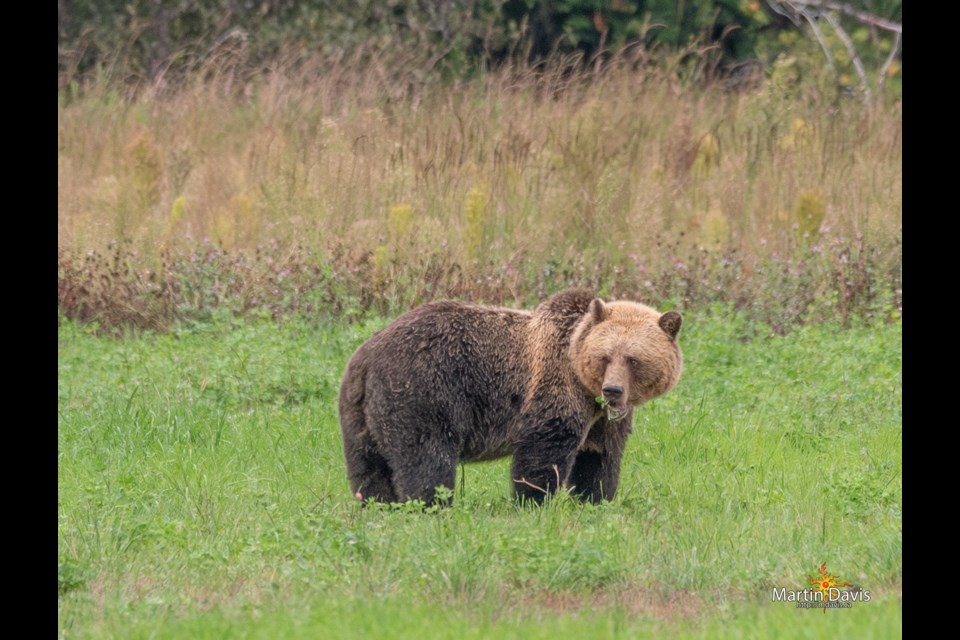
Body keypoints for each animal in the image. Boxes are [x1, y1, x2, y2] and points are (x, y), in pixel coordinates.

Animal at [338, 290, 684, 504]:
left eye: (633, 359)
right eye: (605, 356)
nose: (612, 390)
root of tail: (366, 359)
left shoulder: (602, 419)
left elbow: (600, 458)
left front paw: (594, 498)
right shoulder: (554, 386)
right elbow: (544, 451)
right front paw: (535, 500)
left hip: (359, 411)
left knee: (368, 466)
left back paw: (377, 503)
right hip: (422, 392)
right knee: (426, 459)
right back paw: (430, 505)